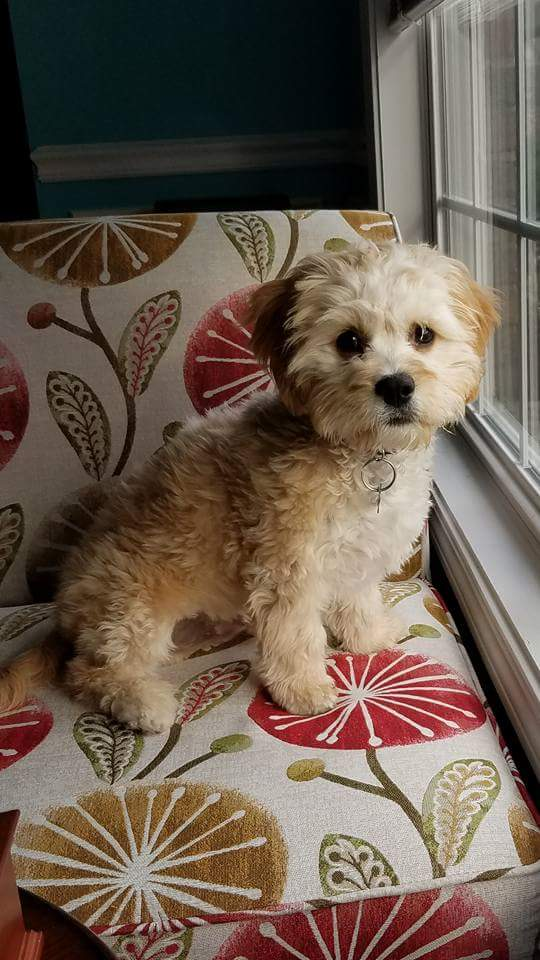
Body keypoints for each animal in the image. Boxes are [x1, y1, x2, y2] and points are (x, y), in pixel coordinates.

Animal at [0, 244, 498, 732]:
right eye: (349, 341)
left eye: (423, 334)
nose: (396, 386)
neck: (363, 455)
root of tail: (63, 615)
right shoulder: (288, 565)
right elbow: (295, 632)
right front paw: (302, 690)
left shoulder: (356, 552)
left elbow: (357, 599)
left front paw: (368, 637)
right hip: (130, 607)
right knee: (89, 670)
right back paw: (142, 703)